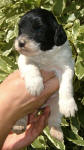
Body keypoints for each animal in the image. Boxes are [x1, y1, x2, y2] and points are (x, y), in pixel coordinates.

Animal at [13, 8, 77, 141]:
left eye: (39, 28)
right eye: (20, 28)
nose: (20, 43)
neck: (44, 53)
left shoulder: (67, 65)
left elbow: (66, 85)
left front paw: (68, 105)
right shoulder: (23, 59)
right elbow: (31, 67)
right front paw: (35, 85)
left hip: (55, 104)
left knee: (54, 118)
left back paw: (56, 131)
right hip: (21, 108)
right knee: (21, 116)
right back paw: (18, 125)